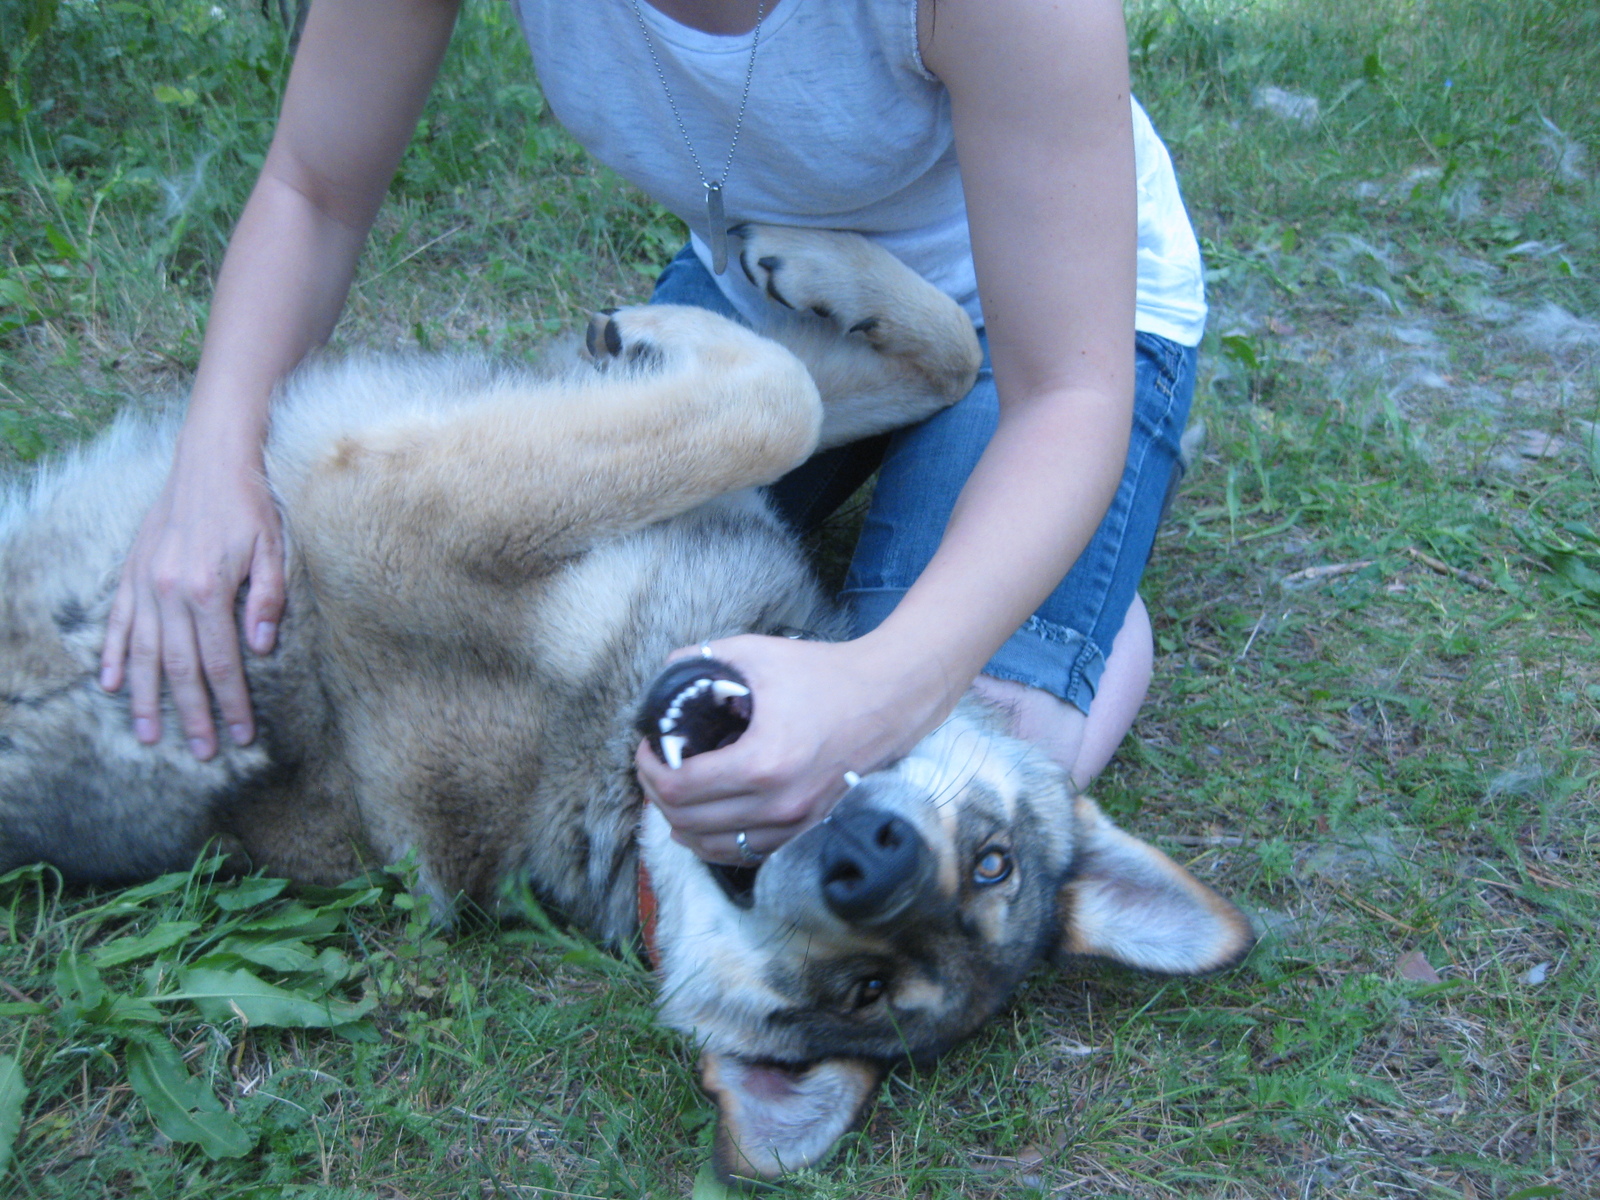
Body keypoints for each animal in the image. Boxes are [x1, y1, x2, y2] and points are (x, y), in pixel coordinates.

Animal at [0, 225, 1248, 1184]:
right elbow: (929, 354)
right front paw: (787, 273)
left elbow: (781, 398)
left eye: (861, 990)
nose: (872, 865)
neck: (607, 749)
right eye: (990, 861)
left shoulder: (384, 502)